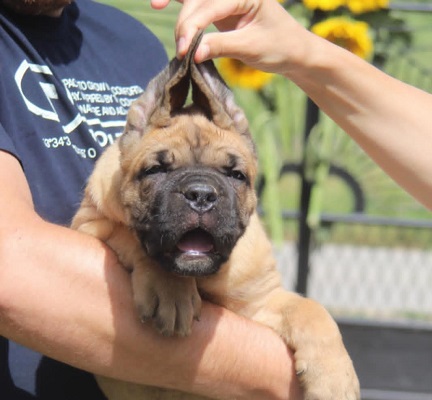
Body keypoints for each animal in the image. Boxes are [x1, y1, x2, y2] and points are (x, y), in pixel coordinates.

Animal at [72, 32, 360, 400]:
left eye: (236, 175)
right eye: (155, 170)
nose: (201, 195)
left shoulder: (261, 301)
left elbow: (311, 310)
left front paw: (336, 379)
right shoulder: (89, 224)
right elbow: (137, 242)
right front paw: (172, 291)